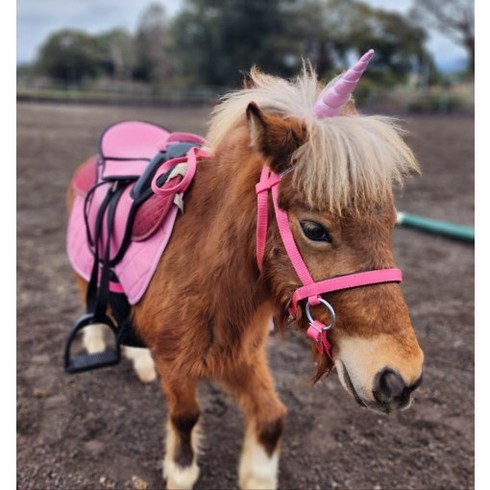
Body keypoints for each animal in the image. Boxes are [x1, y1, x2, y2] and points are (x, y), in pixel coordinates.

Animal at [66, 49, 424, 490]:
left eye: (391, 222)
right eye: (314, 229)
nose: (400, 378)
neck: (206, 276)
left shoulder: (243, 357)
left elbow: (271, 418)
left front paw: (258, 475)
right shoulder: (176, 364)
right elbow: (185, 416)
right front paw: (181, 470)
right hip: (85, 272)